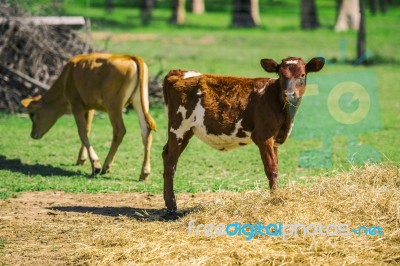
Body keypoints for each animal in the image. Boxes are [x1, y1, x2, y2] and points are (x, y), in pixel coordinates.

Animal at [21, 53, 157, 180]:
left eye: (32, 114)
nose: (33, 134)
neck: (67, 77)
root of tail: (130, 57)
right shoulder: (90, 107)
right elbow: (87, 129)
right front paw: (81, 159)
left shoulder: (76, 105)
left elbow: (81, 132)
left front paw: (95, 164)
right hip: (140, 101)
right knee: (146, 131)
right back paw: (144, 172)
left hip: (113, 105)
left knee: (119, 131)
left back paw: (106, 166)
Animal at [161, 56, 324, 212]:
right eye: (280, 74)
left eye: (302, 75)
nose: (289, 94)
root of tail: (178, 72)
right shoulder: (263, 137)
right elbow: (271, 169)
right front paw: (274, 198)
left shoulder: (275, 140)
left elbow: (276, 166)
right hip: (178, 127)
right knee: (170, 161)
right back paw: (172, 206)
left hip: (187, 131)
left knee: (166, 153)